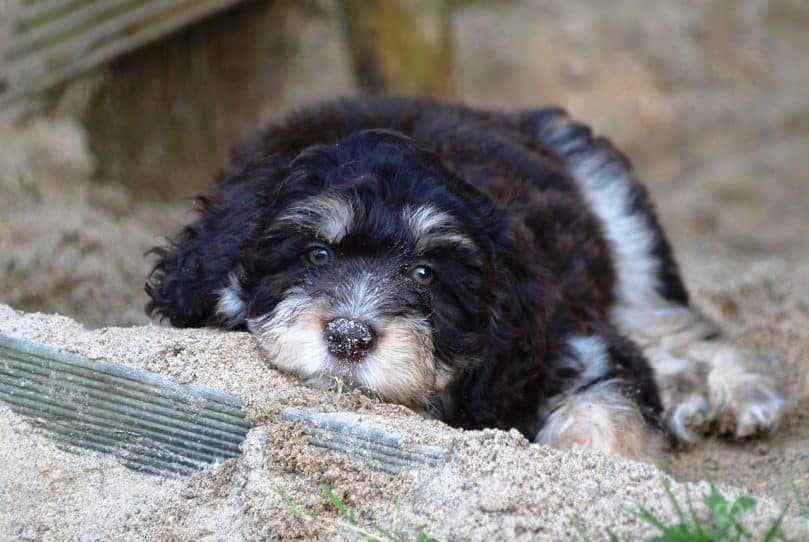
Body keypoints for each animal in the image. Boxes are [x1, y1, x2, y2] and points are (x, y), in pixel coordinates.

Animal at [144, 96, 784, 460]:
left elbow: (605, 416)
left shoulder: (567, 342)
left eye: (427, 273)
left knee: (670, 321)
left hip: (613, 208)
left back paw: (744, 392)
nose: (349, 337)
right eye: (317, 255)